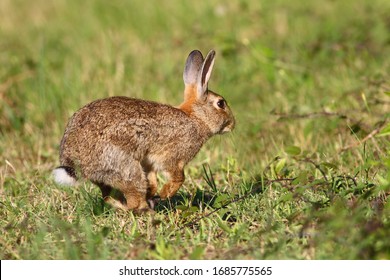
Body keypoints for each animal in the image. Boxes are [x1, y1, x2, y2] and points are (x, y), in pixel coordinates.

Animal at [51, 49, 235, 212]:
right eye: (220, 103)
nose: (232, 125)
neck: (196, 118)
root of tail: (75, 164)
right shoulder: (174, 157)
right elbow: (178, 177)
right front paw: (164, 194)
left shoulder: (148, 161)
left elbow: (152, 177)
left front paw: (154, 192)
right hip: (126, 168)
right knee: (133, 201)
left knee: (108, 196)